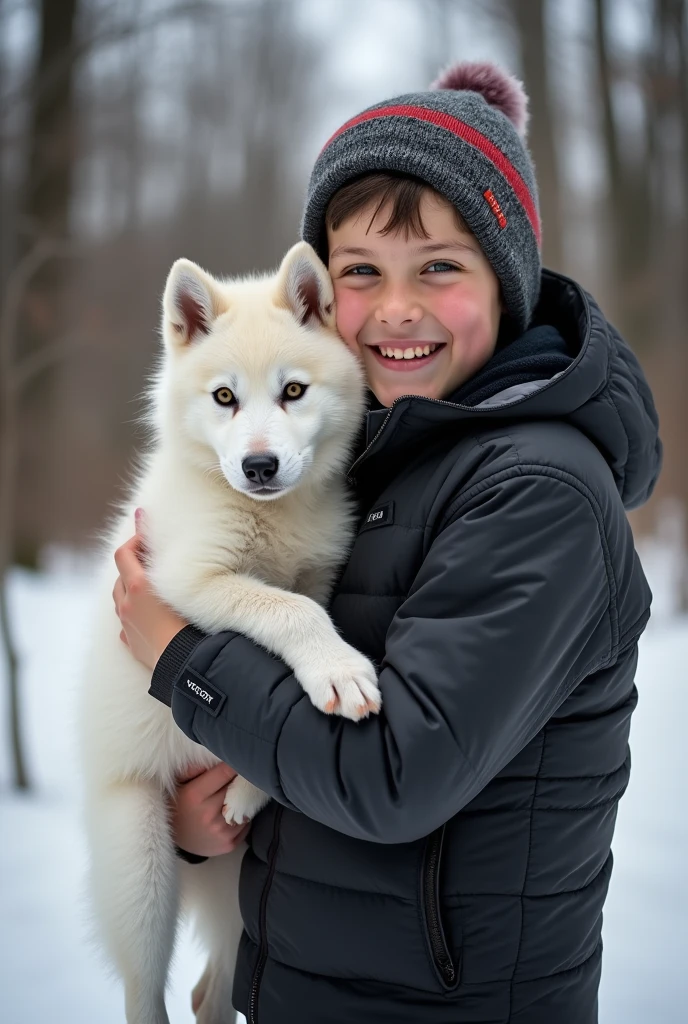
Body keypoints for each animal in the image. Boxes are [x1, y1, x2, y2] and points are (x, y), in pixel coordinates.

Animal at [78, 241, 384, 1024]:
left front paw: (247, 790)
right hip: (144, 873)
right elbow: (286, 616)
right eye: (224, 398)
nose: (258, 465)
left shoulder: (316, 576)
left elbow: (287, 649)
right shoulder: (189, 580)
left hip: (233, 908)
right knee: (147, 994)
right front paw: (342, 673)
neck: (272, 523)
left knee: (207, 992)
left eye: (294, 391)